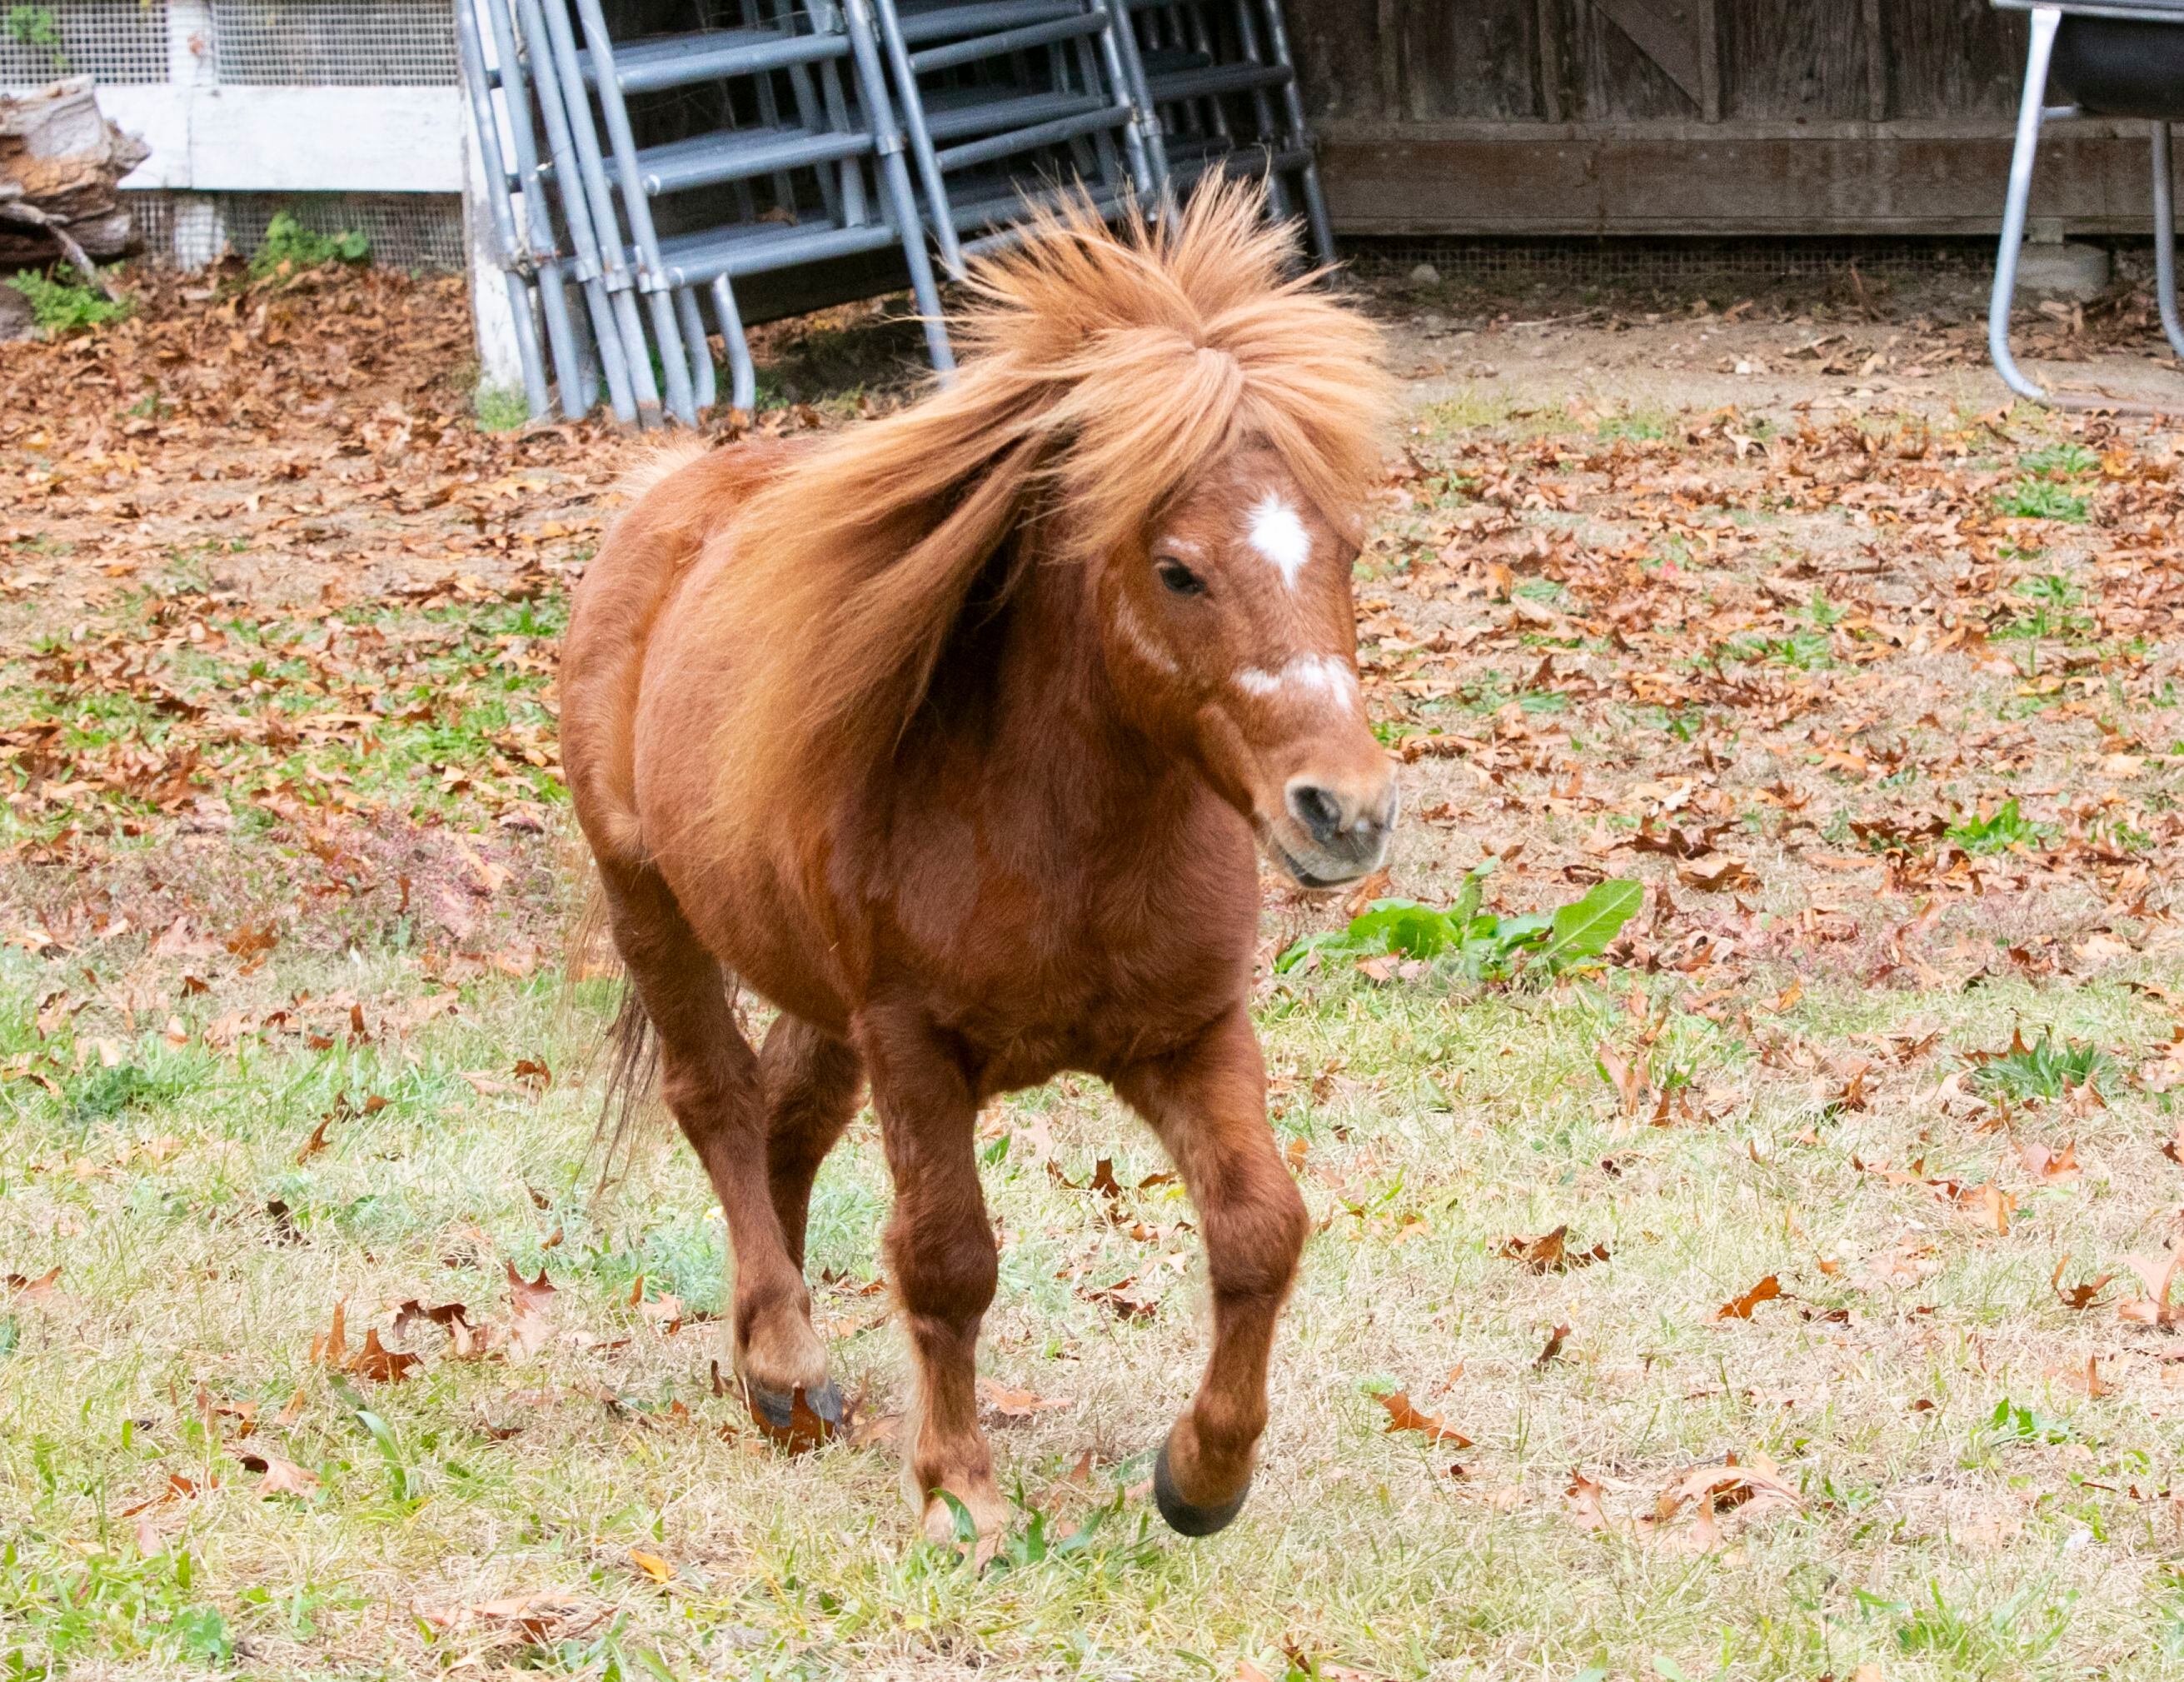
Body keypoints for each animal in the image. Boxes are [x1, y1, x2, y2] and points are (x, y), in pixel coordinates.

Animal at [563, 177, 1398, 1537]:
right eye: (1177, 568)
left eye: (1346, 550)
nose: (1348, 811)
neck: (1068, 847)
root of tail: (668, 494)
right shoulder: (913, 1039)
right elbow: (948, 1259)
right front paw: (959, 1490)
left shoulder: (1190, 1029)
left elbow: (1259, 1228)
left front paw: (1201, 1475)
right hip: (651, 905)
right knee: (720, 1102)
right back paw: (785, 1358)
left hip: (817, 990)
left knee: (788, 1120)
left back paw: (772, 1366)